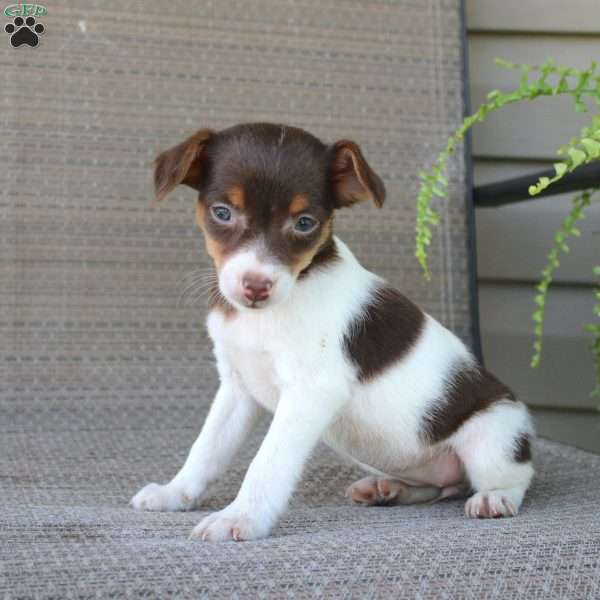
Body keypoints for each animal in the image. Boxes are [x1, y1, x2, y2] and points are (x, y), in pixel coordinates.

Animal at [132, 123, 536, 544]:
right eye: (222, 213)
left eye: (304, 223)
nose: (256, 286)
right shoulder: (237, 388)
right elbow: (206, 448)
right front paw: (175, 492)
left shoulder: (310, 392)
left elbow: (267, 463)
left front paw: (241, 516)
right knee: (439, 487)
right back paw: (388, 488)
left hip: (492, 436)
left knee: (512, 477)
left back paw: (493, 498)